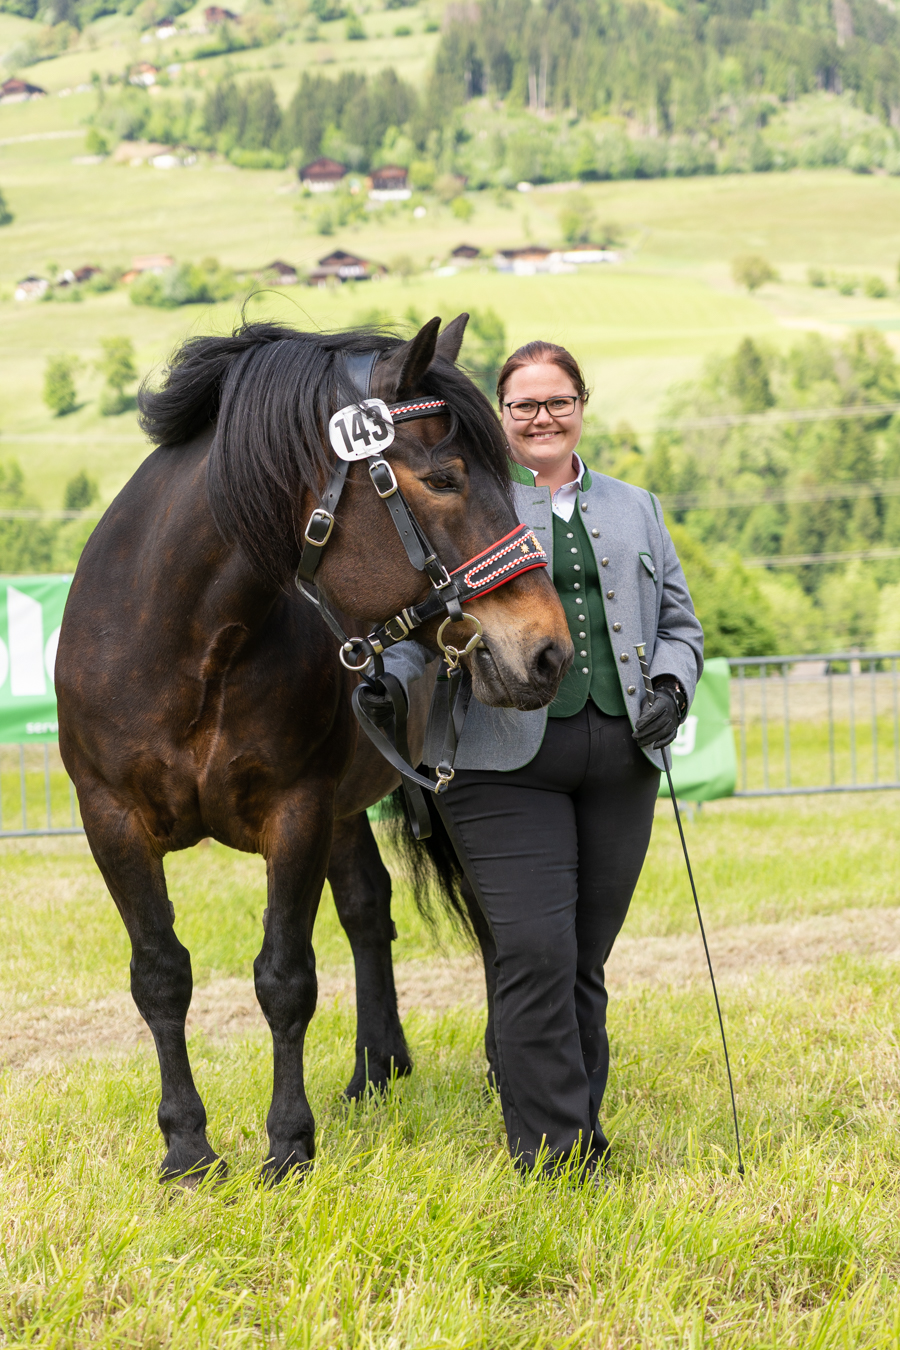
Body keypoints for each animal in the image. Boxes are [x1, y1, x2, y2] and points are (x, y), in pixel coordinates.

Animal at [55, 314, 572, 1183]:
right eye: (443, 477)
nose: (547, 651)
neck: (187, 643)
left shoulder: (294, 812)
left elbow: (285, 978)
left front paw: (288, 1145)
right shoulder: (112, 820)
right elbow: (160, 975)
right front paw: (187, 1150)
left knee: (490, 922)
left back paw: (497, 1064)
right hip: (346, 807)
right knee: (368, 908)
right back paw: (376, 1069)